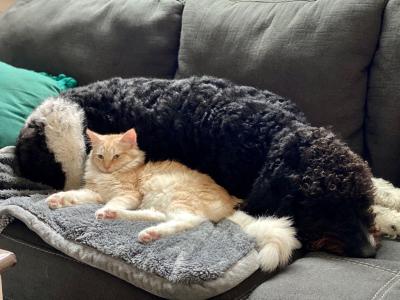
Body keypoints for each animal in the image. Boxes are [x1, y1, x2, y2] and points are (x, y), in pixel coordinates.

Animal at [46, 128, 300, 272]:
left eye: (116, 156)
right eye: (100, 156)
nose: (107, 166)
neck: (109, 176)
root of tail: (229, 207)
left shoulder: (128, 194)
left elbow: (112, 201)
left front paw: (101, 211)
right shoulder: (95, 192)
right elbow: (75, 196)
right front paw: (56, 199)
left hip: (176, 197)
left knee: (188, 221)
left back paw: (134, 226)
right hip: (162, 203)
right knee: (157, 216)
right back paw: (135, 227)